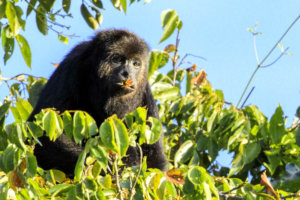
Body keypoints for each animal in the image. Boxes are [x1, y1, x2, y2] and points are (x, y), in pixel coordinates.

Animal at [28, 29, 168, 175]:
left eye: (136, 64)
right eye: (117, 59)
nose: (127, 74)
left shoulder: (146, 93)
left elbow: (155, 157)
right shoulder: (72, 65)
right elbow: (42, 134)